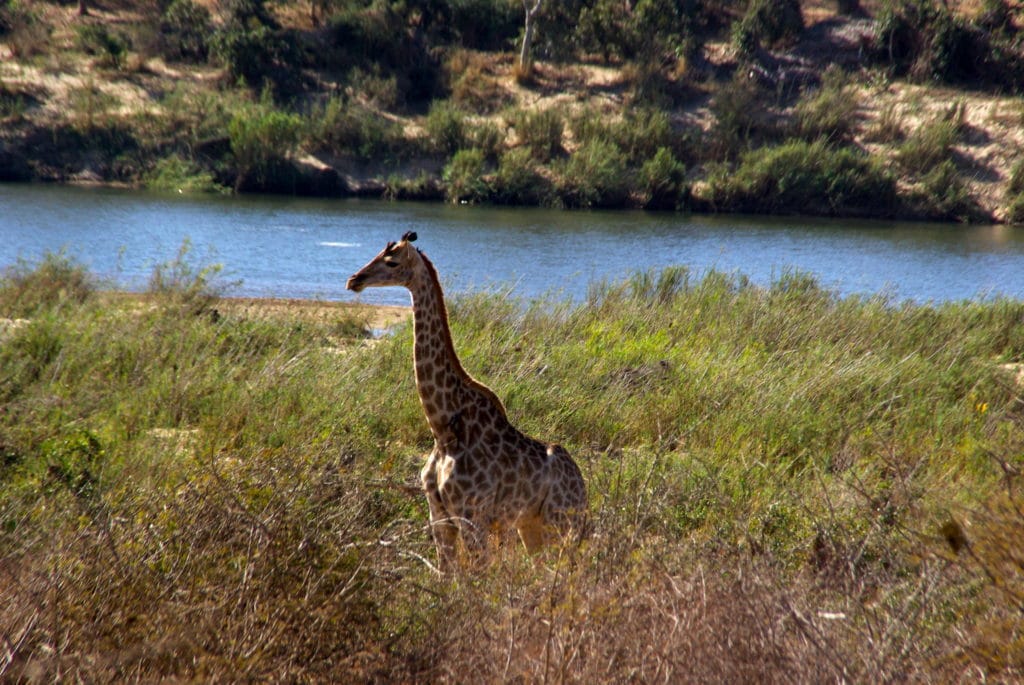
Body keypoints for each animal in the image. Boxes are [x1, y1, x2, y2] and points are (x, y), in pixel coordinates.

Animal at [346, 232, 589, 569]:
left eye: (391, 262)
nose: (354, 280)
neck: (442, 428)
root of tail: (583, 486)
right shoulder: (439, 518)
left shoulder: (473, 517)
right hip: (532, 526)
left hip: (562, 523)